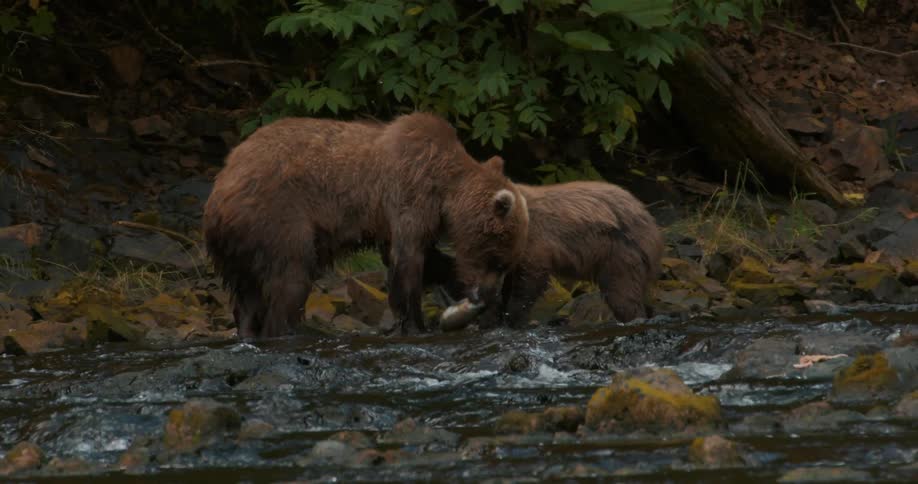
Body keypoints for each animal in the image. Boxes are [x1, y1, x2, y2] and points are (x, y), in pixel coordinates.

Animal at [202, 113, 530, 339]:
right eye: (499, 262)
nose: (489, 295)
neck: (444, 187)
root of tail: (218, 189)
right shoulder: (408, 194)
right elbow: (408, 261)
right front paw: (415, 324)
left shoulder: (392, 221)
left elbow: (421, 259)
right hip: (276, 218)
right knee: (289, 277)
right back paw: (284, 330)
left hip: (241, 244)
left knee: (248, 296)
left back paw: (248, 330)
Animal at [414, 172, 664, 327]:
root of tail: (648, 218)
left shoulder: (535, 242)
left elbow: (530, 280)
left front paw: (512, 317)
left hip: (618, 253)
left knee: (622, 292)